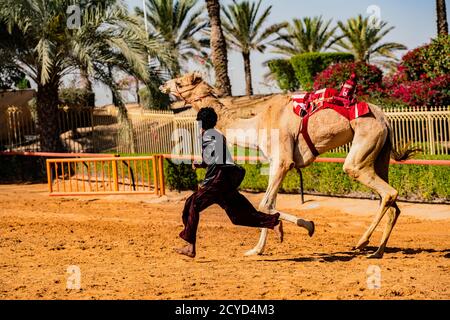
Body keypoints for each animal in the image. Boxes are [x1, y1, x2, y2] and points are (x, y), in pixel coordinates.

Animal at [160, 72, 414, 258]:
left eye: (180, 82)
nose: (163, 85)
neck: (256, 125)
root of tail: (385, 119)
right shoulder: (276, 162)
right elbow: (269, 203)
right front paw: (258, 248)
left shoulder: (282, 161)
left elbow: (264, 203)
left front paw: (306, 227)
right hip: (380, 154)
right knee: (391, 202)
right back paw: (378, 251)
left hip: (364, 144)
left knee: (384, 190)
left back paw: (362, 242)